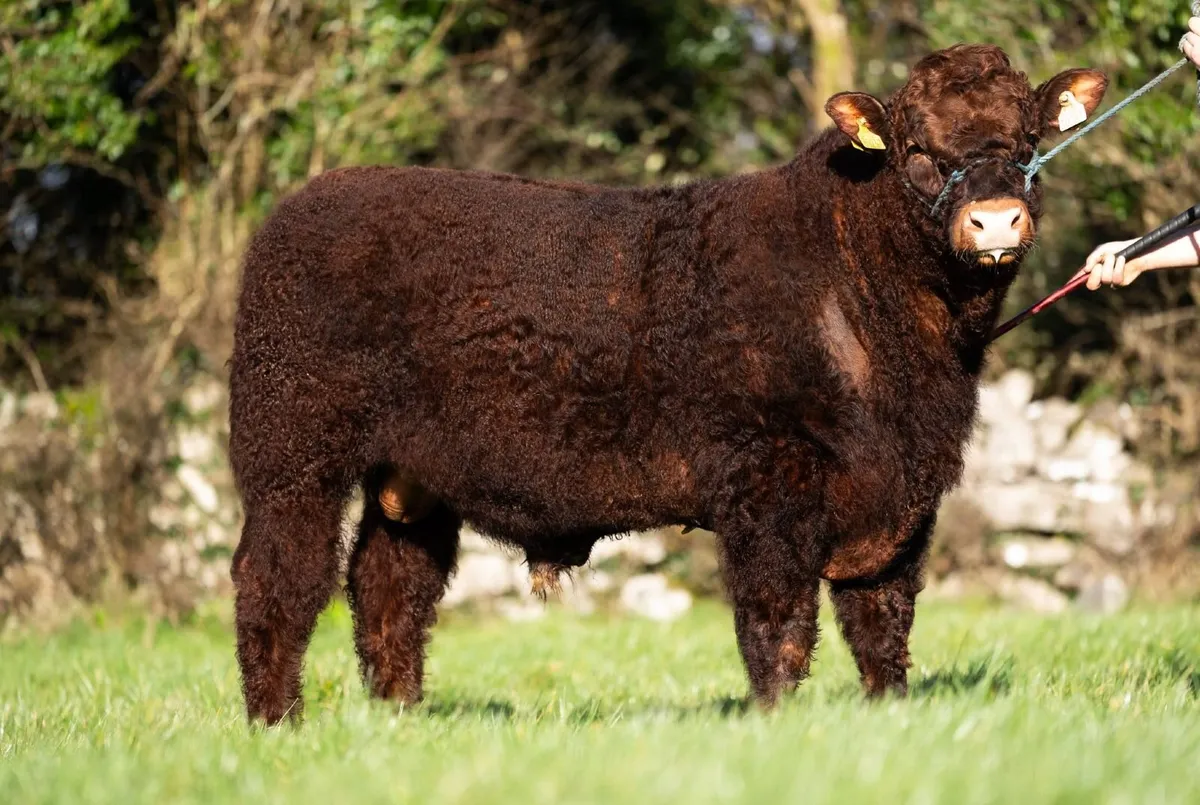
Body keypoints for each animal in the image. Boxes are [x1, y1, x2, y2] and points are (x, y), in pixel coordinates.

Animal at [228, 44, 1108, 724]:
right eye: (919, 150)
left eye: (1027, 140)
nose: (994, 221)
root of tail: (307, 201)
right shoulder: (768, 483)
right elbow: (778, 622)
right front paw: (776, 723)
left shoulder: (903, 497)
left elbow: (881, 623)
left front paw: (888, 717)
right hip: (291, 457)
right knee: (277, 581)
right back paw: (278, 723)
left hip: (410, 479)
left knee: (389, 590)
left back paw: (400, 719)